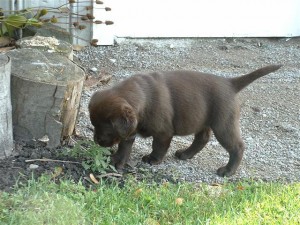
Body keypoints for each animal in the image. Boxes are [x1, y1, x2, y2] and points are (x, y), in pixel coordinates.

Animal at [88, 65, 282, 178]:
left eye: (105, 128)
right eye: (93, 126)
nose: (96, 140)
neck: (143, 97)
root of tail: (230, 83)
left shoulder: (163, 131)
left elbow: (158, 146)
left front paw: (153, 159)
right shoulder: (130, 129)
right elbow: (124, 145)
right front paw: (117, 161)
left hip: (223, 123)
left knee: (237, 146)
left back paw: (228, 171)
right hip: (203, 120)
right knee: (202, 138)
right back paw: (186, 154)